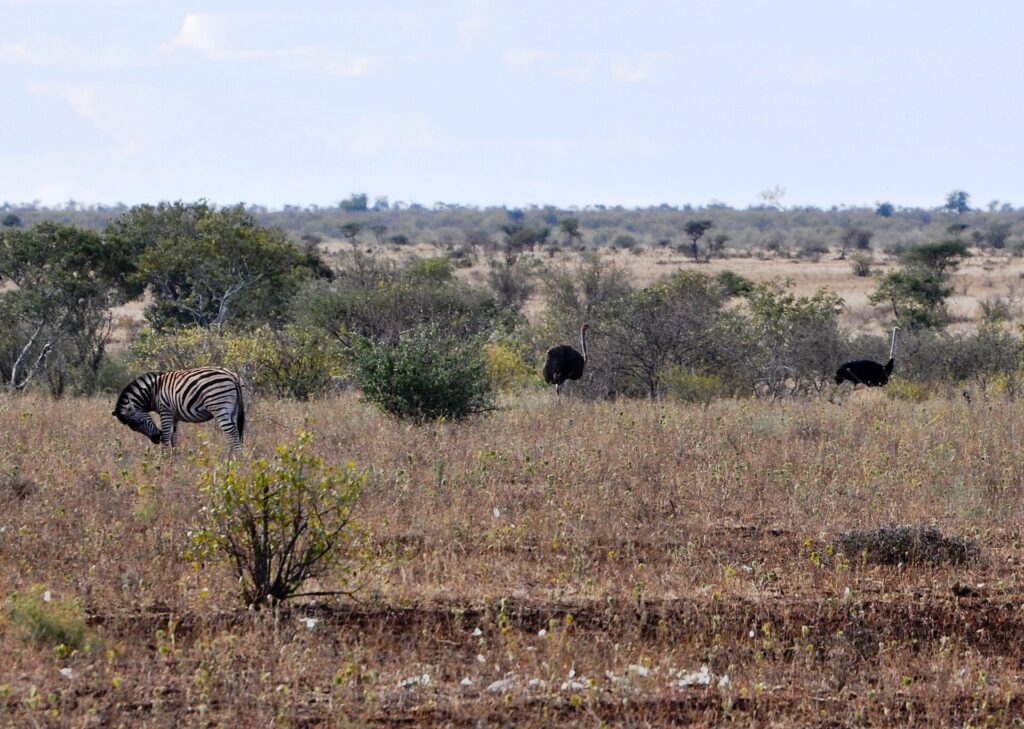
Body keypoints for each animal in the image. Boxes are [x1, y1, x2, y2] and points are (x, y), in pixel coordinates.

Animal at [112, 367, 245, 452]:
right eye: (134, 429)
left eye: (139, 422)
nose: (156, 439)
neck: (153, 391)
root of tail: (232, 375)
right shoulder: (174, 415)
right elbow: (173, 438)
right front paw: (175, 460)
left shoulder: (165, 411)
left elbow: (166, 437)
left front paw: (163, 461)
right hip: (233, 410)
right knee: (234, 433)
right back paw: (229, 459)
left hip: (219, 407)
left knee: (232, 433)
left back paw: (236, 460)